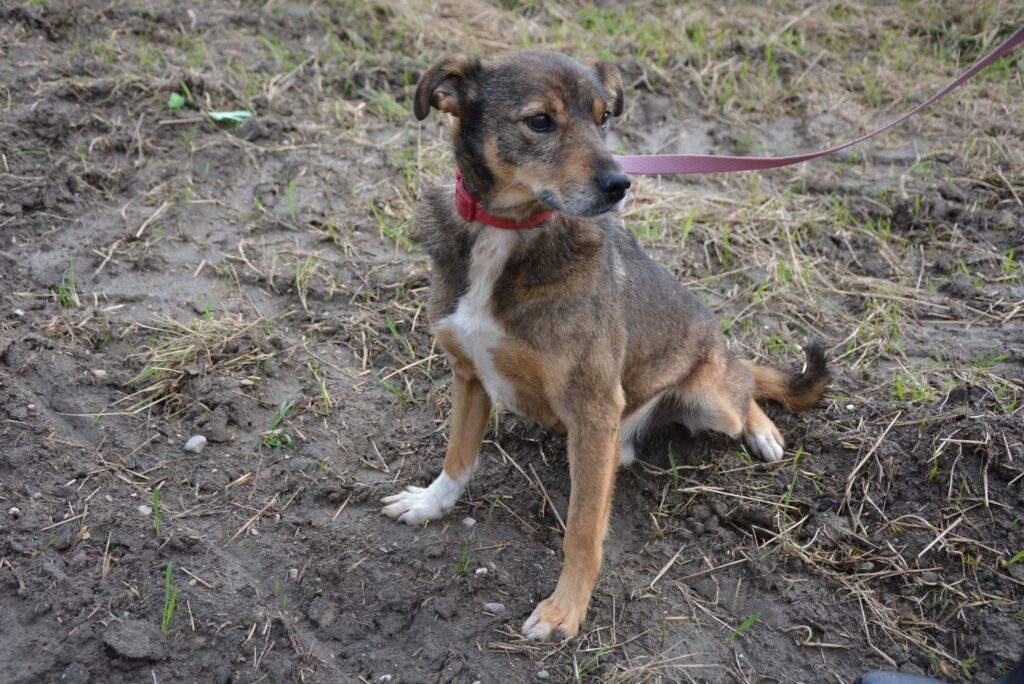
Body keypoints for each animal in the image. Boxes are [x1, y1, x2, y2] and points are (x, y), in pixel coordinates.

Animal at [380, 49, 827, 643]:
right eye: (540, 121)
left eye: (604, 118)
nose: (620, 183)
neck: (508, 231)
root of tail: (715, 345)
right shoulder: (469, 372)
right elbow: (458, 456)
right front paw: (431, 504)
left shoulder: (593, 407)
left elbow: (583, 530)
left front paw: (564, 610)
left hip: (710, 395)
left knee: (745, 385)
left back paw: (762, 430)